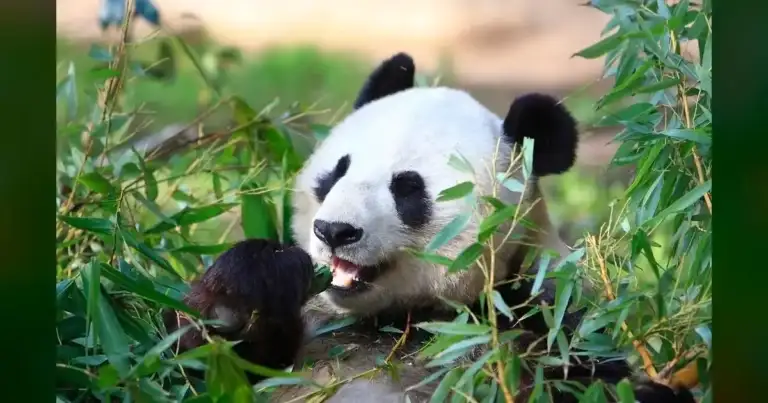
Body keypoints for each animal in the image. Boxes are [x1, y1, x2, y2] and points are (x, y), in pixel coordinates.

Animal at [167, 52, 695, 403]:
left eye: (407, 188)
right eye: (337, 171)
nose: (334, 231)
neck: (401, 319)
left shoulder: (547, 323)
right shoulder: (311, 328)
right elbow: (195, 364)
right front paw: (250, 288)